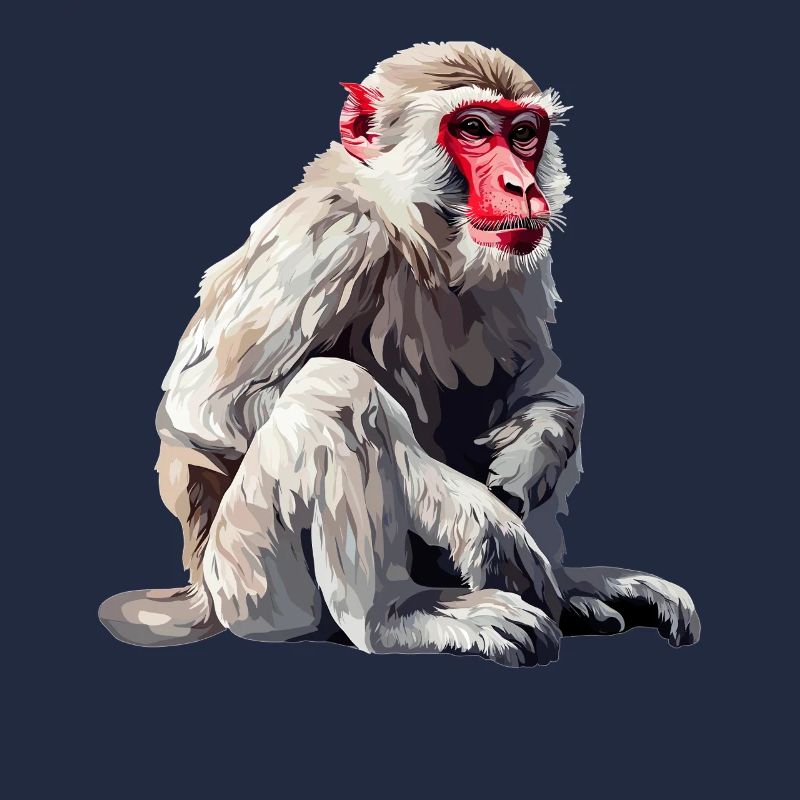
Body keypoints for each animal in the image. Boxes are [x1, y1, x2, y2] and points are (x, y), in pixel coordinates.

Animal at [99, 42, 700, 667]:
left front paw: (536, 446)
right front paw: (470, 511)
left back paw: (569, 589)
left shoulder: (521, 260)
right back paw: (398, 617)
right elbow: (206, 412)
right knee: (334, 393)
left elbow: (540, 382)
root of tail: (202, 593)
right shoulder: (330, 236)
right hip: (250, 584)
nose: (520, 185)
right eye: (473, 129)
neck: (417, 231)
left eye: (523, 134)